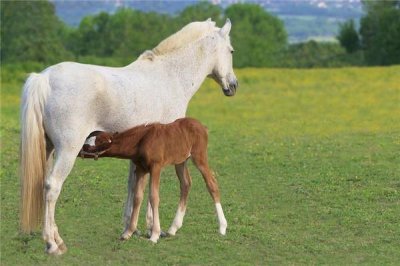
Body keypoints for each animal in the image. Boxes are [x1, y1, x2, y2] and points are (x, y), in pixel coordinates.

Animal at [80, 117, 228, 242]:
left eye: (90, 145)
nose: (79, 151)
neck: (141, 141)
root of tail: (202, 126)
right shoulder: (141, 169)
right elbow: (138, 197)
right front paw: (128, 232)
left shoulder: (156, 167)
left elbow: (153, 196)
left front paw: (154, 235)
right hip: (181, 160)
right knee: (186, 184)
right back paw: (173, 228)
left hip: (199, 156)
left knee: (211, 183)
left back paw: (222, 227)